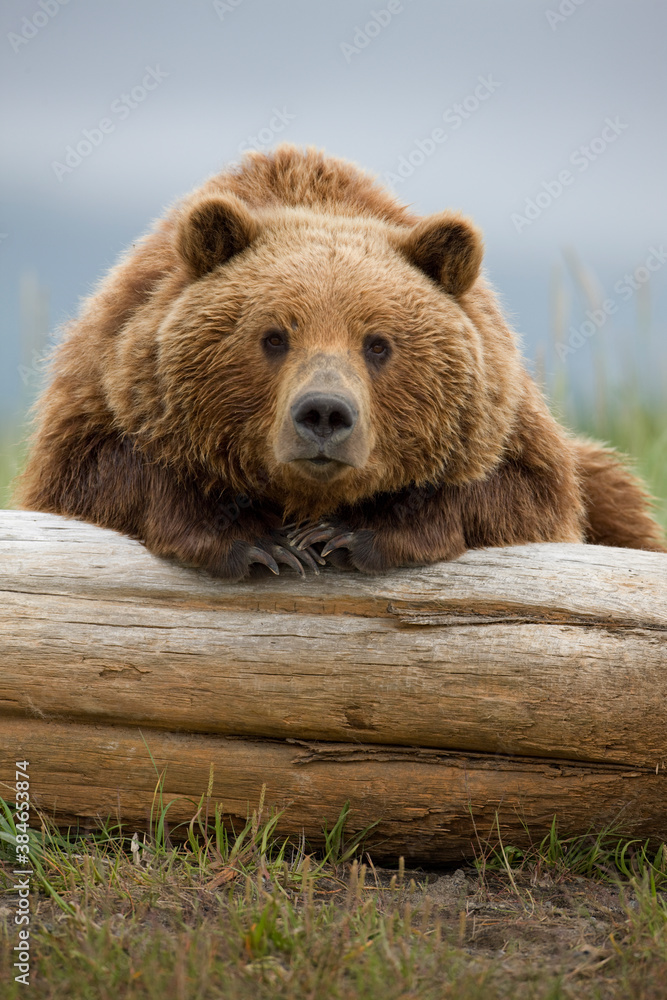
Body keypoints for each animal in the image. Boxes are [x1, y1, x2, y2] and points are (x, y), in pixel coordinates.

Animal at [16, 144, 666, 580]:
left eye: (378, 343)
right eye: (274, 336)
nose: (324, 413)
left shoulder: (505, 426)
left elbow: (522, 495)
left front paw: (348, 532)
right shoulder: (108, 383)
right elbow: (97, 474)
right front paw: (259, 540)